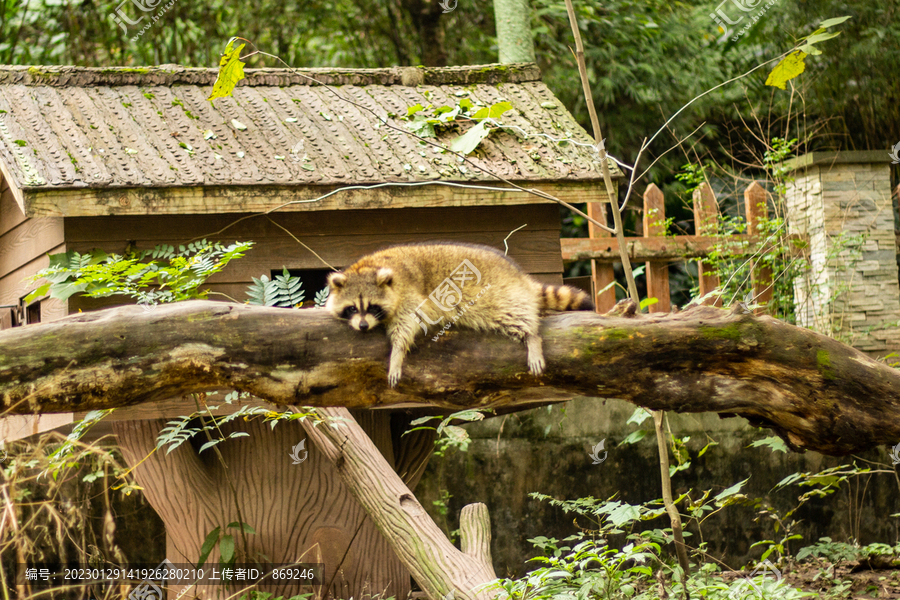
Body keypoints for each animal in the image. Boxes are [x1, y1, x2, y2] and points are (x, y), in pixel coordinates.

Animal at [326, 244, 596, 390]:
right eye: (352, 308)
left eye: (371, 307)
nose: (362, 326)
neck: (370, 267)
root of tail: (520, 276)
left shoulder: (410, 295)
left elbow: (406, 326)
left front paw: (397, 354)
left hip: (500, 296)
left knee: (517, 316)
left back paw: (532, 338)